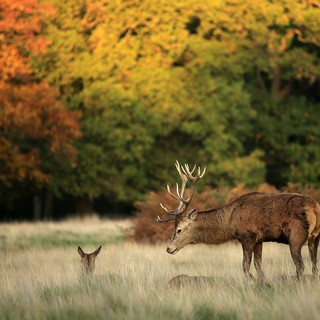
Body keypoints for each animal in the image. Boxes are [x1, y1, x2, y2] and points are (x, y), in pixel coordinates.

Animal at [159, 160, 320, 280]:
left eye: (179, 230)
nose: (168, 248)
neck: (231, 221)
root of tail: (314, 208)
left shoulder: (247, 236)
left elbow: (245, 266)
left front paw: (252, 280)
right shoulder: (259, 239)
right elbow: (258, 266)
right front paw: (261, 281)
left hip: (296, 235)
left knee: (300, 265)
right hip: (315, 237)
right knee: (314, 265)